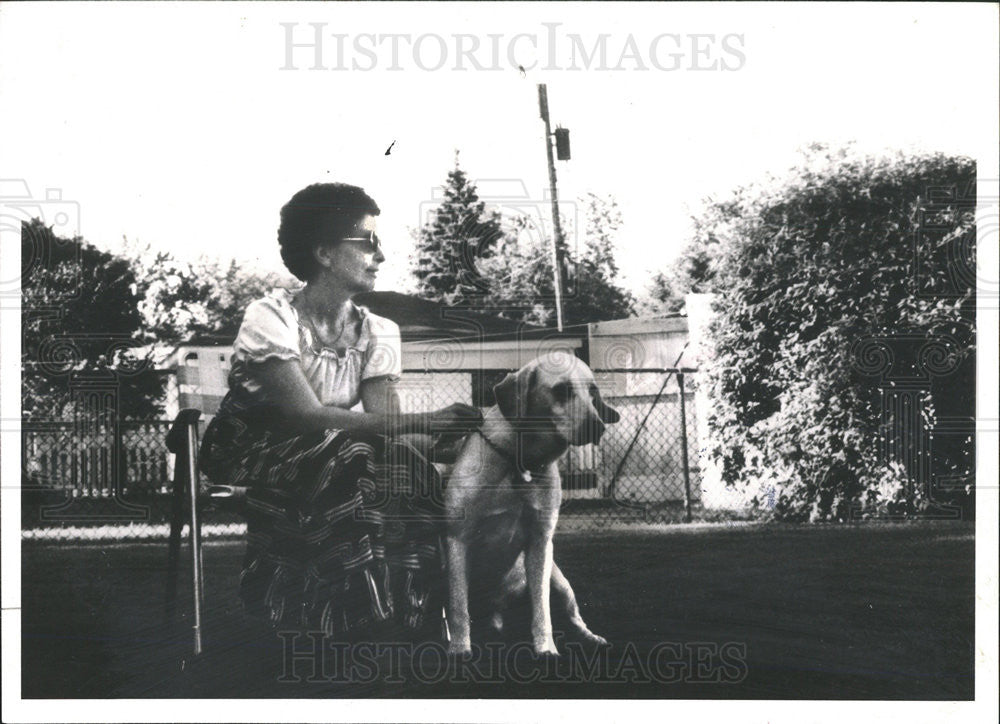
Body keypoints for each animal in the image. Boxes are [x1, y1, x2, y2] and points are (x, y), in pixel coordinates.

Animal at [444, 352, 616, 656]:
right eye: (561, 390)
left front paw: (546, 649)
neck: (520, 461)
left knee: (572, 616)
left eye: (593, 392)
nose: (599, 426)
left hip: (560, 582)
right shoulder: (457, 539)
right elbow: (458, 607)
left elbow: (541, 608)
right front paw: (459, 649)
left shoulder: (540, 542)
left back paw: (591, 638)